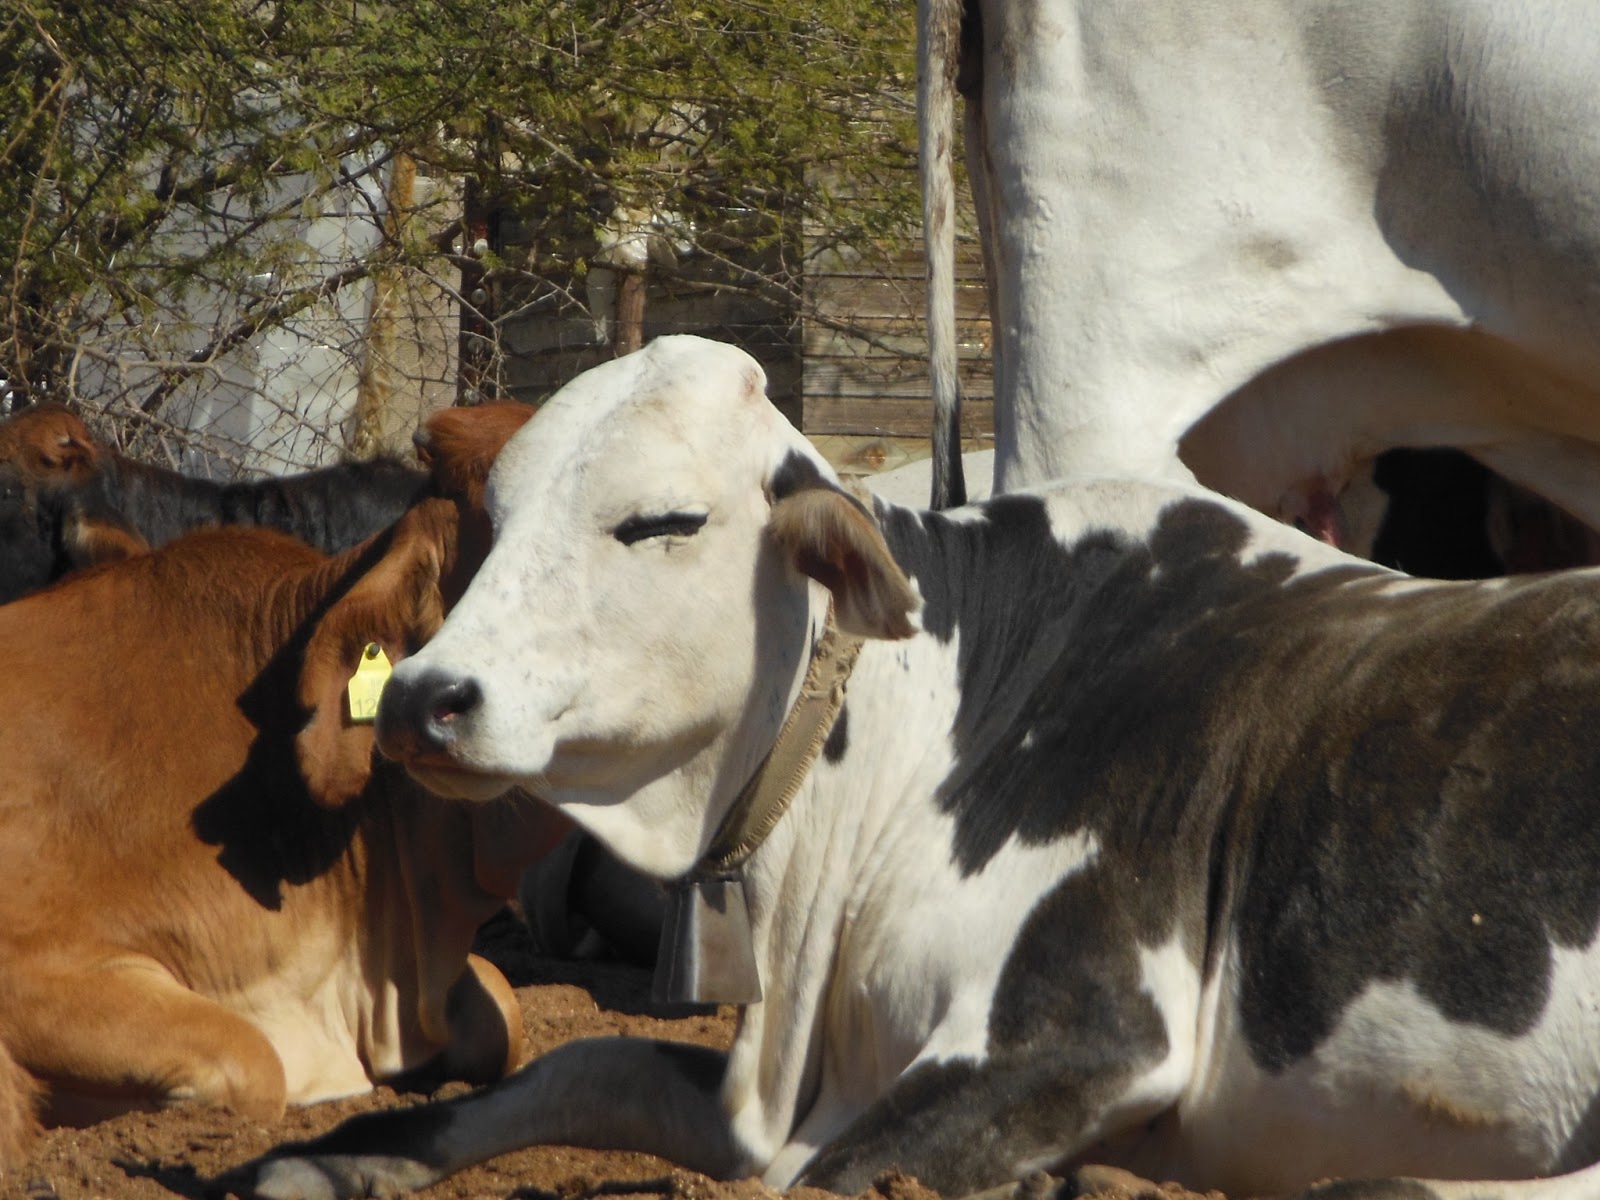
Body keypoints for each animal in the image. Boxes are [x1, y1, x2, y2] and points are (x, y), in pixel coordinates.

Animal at [228, 335, 1600, 1200]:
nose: (426, 698)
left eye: (662, 521)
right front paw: (304, 1162)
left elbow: (821, 1178)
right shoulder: (773, 1087)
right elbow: (576, 1064)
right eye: (495, 524)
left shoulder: (1087, 1028)